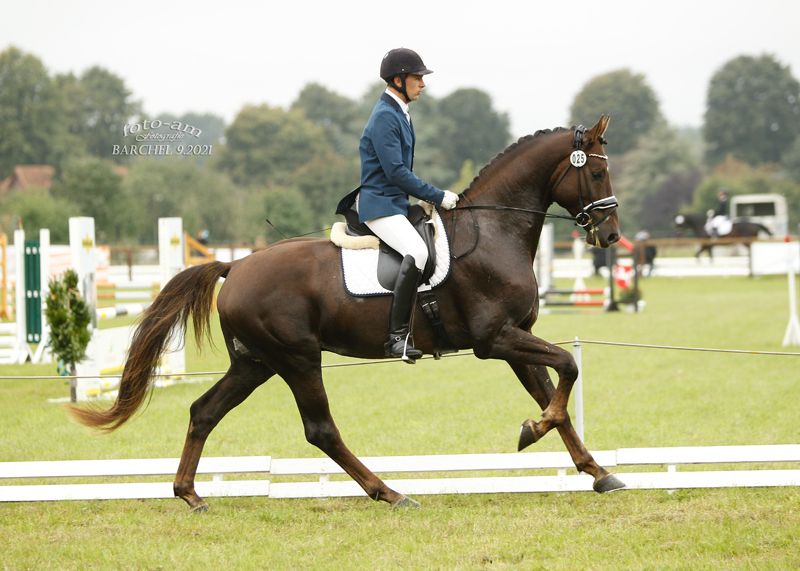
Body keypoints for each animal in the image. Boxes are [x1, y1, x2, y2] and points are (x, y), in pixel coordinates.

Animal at [72, 115, 624, 510]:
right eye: (596, 171)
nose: (612, 235)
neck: (493, 232)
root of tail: (237, 265)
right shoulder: (495, 340)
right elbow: (567, 369)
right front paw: (532, 430)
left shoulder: (515, 338)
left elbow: (554, 391)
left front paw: (597, 473)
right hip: (297, 359)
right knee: (321, 429)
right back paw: (391, 493)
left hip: (255, 362)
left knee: (204, 412)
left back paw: (189, 494)